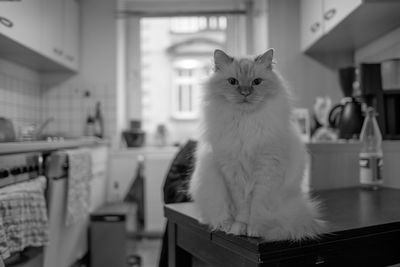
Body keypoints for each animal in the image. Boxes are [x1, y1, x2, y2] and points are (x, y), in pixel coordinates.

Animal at [188, 48, 324, 241]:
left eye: (256, 82)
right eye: (233, 82)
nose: (245, 92)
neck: (246, 123)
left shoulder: (266, 169)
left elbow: (256, 207)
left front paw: (254, 229)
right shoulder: (233, 173)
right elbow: (242, 208)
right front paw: (239, 228)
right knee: (216, 214)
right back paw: (224, 224)